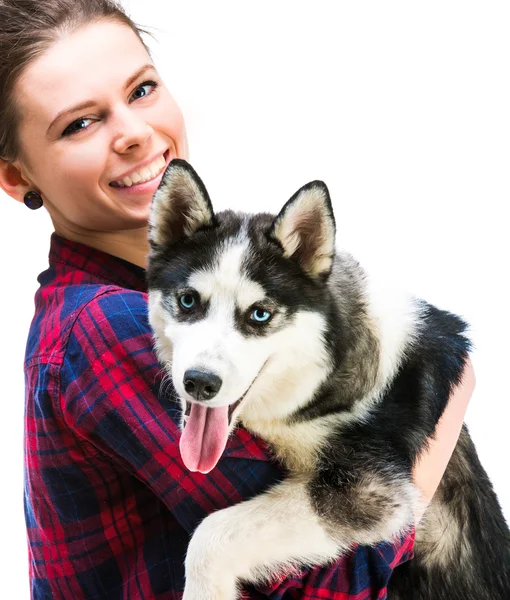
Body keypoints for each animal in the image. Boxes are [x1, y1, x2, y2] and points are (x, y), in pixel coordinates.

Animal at [145, 159, 510, 600]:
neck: (316, 382)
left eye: (260, 314)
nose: (199, 382)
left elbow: (209, 535)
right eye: (187, 301)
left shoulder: (371, 493)